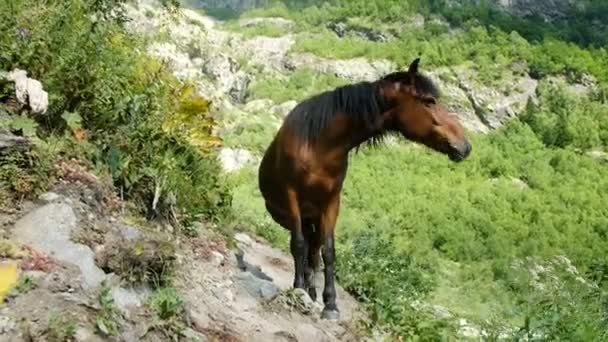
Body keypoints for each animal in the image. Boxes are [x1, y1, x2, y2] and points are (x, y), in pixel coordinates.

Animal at [256, 58, 470, 318]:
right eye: (429, 101)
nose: (464, 145)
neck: (318, 145)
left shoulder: (331, 203)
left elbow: (328, 252)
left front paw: (330, 304)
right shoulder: (291, 196)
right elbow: (297, 245)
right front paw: (297, 288)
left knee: (313, 251)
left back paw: (312, 291)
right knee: (304, 246)